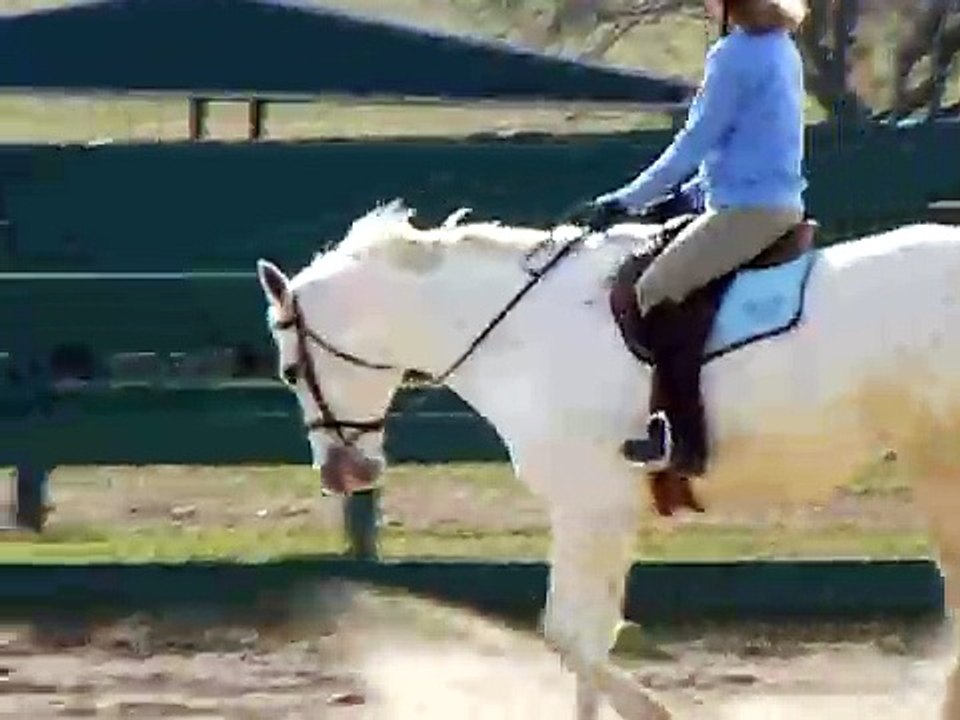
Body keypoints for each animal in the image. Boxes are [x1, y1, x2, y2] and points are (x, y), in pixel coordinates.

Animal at [255, 199, 960, 720]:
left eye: (290, 372)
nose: (344, 475)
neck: (522, 333)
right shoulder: (600, 512)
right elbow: (582, 637)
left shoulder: (590, 508)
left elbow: (568, 634)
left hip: (939, 464)